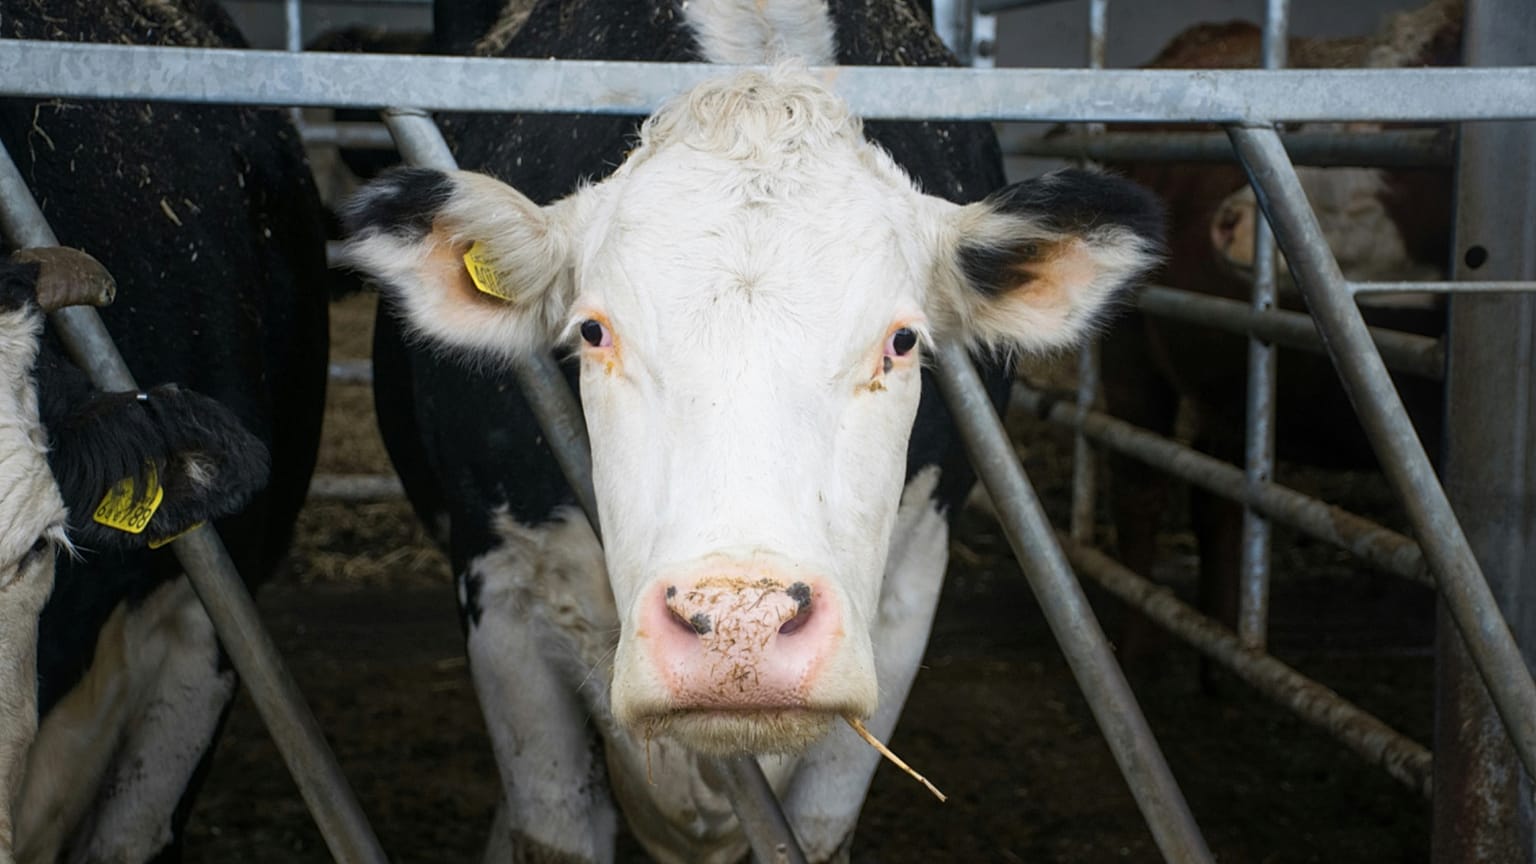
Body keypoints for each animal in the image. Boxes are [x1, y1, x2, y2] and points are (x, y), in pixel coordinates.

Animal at [341, 1, 1163, 861]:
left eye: (902, 340)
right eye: (595, 331)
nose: (743, 627)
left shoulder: (909, 594)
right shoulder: (500, 590)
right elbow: (553, 826)